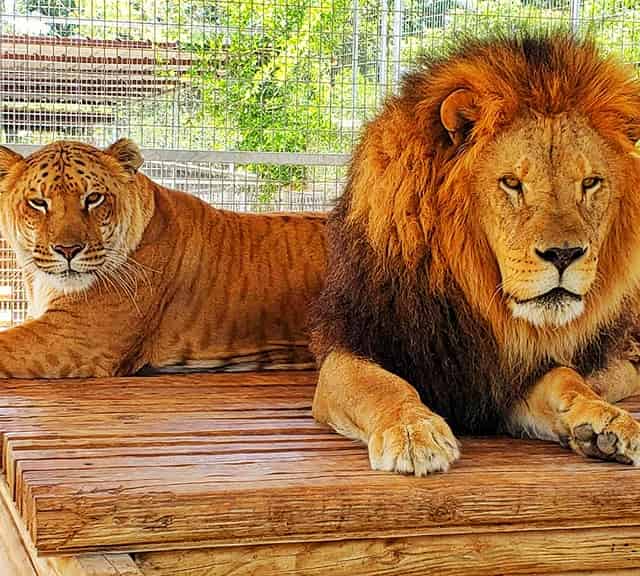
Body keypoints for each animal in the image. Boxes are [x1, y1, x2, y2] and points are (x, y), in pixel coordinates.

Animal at [310, 31, 640, 474]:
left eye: (590, 183)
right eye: (512, 183)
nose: (564, 254)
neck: (480, 302)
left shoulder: (509, 381)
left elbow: (568, 381)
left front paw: (607, 420)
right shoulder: (350, 346)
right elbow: (381, 385)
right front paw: (413, 431)